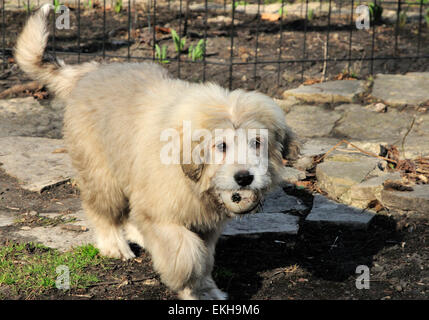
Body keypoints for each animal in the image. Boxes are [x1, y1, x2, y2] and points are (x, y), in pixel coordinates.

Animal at [15, 4, 298, 300]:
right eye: (221, 145)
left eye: (257, 142)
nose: (244, 178)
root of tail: (93, 70)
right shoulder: (163, 214)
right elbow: (186, 253)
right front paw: (188, 282)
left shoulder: (205, 223)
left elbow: (205, 256)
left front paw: (204, 289)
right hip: (101, 170)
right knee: (103, 210)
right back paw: (114, 244)